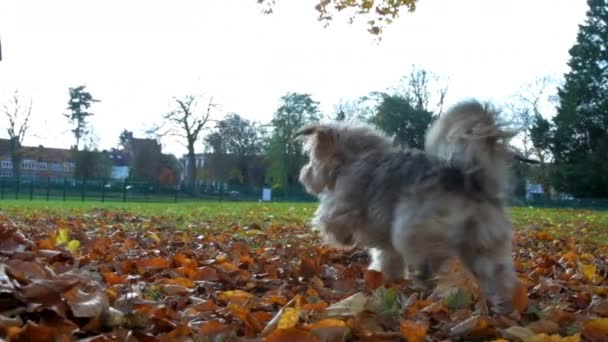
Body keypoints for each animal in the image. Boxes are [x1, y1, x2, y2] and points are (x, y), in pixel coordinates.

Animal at [294, 100, 516, 312]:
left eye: (311, 159)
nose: (304, 173)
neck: (357, 156)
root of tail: (466, 180)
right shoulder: (386, 244)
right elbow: (387, 259)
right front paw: (385, 278)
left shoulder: (341, 203)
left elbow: (331, 220)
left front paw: (344, 239)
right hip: (484, 244)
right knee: (498, 275)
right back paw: (502, 305)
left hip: (412, 230)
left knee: (432, 263)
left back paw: (425, 281)